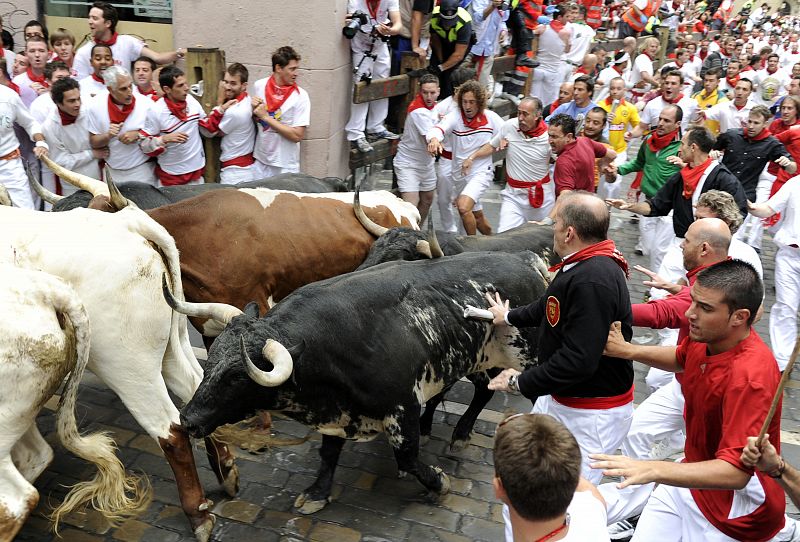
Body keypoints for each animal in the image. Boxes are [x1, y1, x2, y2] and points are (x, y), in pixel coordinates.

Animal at [165, 251, 548, 516]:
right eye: (212, 359)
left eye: (235, 377)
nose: (188, 419)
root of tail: (524, 260)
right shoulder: (339, 414)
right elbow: (328, 453)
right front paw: (317, 493)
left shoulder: (401, 406)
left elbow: (407, 458)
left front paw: (438, 482)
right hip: (475, 358)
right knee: (481, 389)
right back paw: (451, 431)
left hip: (529, 355)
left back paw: (469, 434)